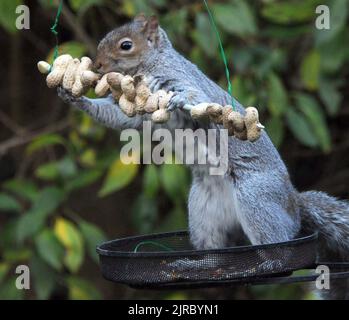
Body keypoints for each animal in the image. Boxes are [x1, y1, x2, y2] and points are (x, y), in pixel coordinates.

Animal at [57, 13, 348, 298]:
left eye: (126, 45)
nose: (97, 65)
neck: (146, 68)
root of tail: (294, 203)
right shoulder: (137, 111)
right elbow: (121, 118)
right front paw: (73, 96)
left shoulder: (179, 79)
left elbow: (197, 98)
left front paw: (179, 100)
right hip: (203, 212)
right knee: (217, 254)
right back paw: (196, 266)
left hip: (256, 198)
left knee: (279, 244)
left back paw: (268, 263)